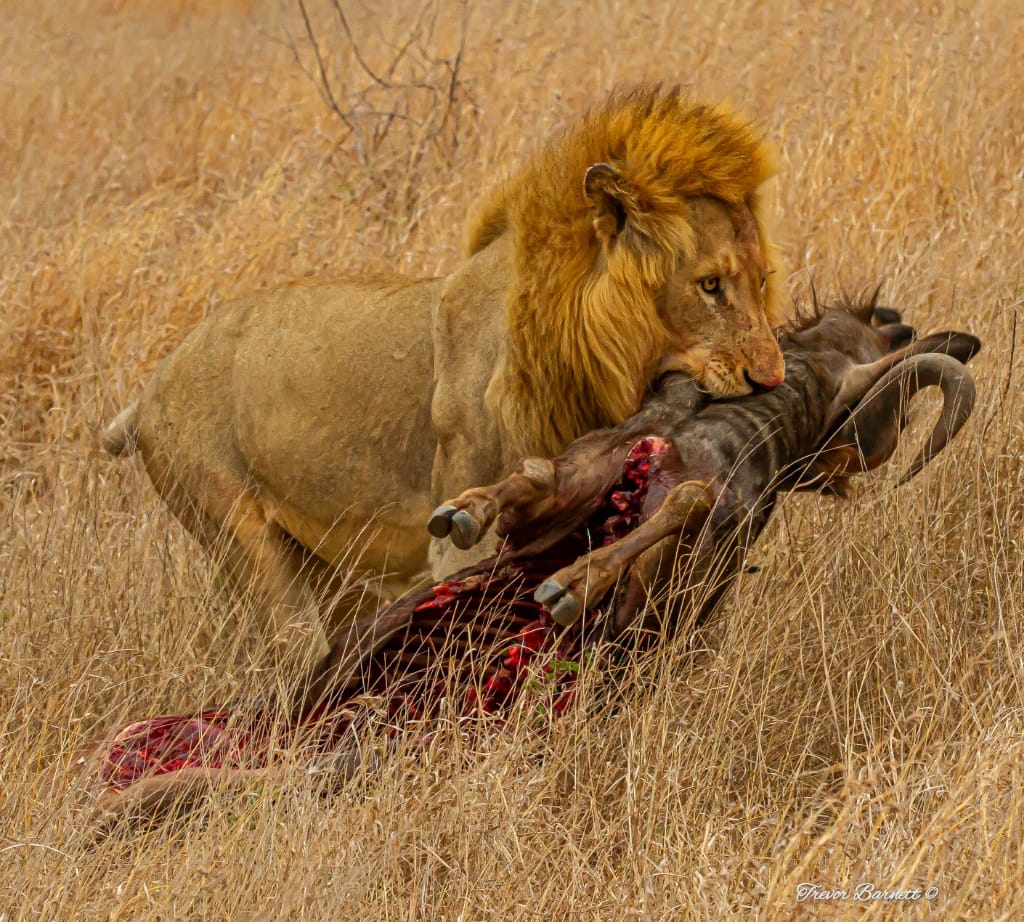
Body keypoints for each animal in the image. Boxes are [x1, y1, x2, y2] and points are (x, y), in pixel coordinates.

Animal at [101, 86, 790, 702]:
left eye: (762, 281)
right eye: (709, 285)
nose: (774, 380)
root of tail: (151, 387)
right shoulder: (466, 527)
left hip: (328, 562)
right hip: (238, 531)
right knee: (294, 644)